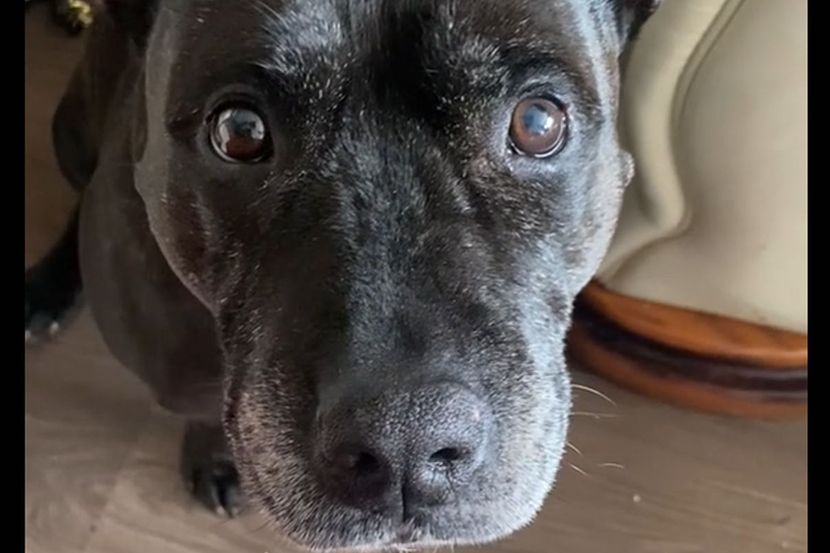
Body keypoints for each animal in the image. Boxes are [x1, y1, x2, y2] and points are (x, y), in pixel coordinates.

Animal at [25, 0, 661, 550]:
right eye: (239, 132)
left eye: (537, 121)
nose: (408, 440)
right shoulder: (177, 371)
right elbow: (203, 406)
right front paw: (215, 457)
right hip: (71, 130)